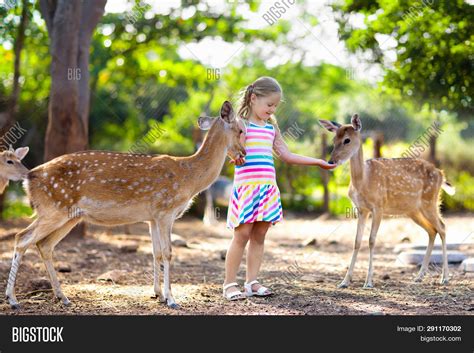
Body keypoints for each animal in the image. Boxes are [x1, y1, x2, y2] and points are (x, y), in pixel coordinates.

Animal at [320, 115, 454, 288]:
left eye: (347, 140)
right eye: (333, 139)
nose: (331, 161)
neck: (364, 180)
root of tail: (441, 174)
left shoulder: (379, 206)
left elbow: (371, 240)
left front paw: (368, 282)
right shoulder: (362, 209)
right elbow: (357, 241)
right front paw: (344, 282)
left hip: (429, 202)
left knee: (442, 227)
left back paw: (445, 278)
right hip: (413, 210)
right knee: (432, 230)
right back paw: (419, 276)